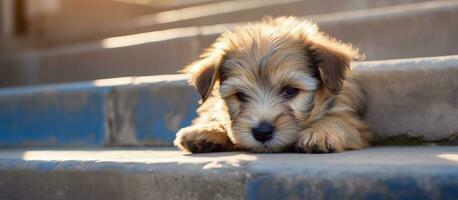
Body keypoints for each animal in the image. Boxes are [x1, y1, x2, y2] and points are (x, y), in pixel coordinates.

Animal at [174, 16, 370, 153]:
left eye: (290, 90)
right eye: (240, 95)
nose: (262, 132)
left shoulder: (352, 118)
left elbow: (338, 120)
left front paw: (321, 133)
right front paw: (206, 130)